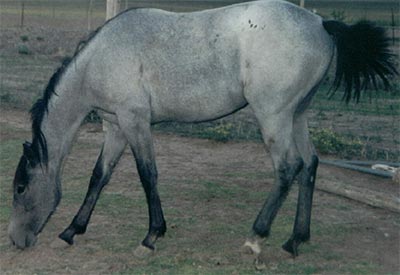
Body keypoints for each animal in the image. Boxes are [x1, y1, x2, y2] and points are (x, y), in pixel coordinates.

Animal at [7, 0, 396, 260]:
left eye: (21, 188)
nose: (15, 241)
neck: (100, 59)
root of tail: (320, 23)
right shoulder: (115, 126)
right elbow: (98, 177)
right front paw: (71, 230)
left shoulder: (135, 122)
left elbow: (147, 175)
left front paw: (151, 236)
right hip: (297, 114)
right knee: (311, 165)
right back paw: (295, 241)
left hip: (273, 116)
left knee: (289, 167)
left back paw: (256, 237)